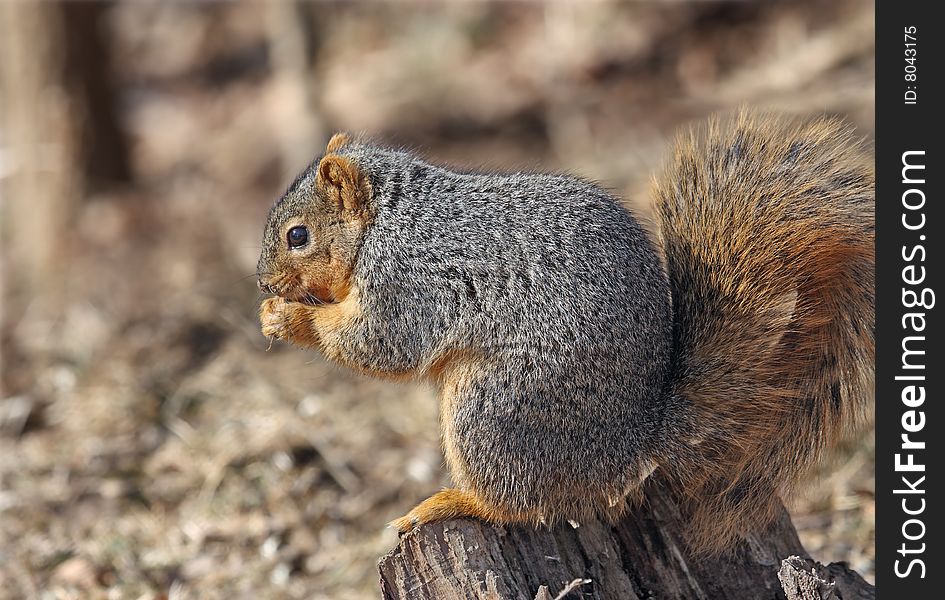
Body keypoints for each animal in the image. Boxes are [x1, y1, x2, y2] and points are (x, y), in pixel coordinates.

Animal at [256, 111, 872, 552]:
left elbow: (380, 345)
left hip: (494, 411)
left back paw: (451, 503)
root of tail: (633, 439)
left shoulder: (405, 278)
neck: (387, 218)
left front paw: (289, 317)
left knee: (521, 503)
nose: (262, 280)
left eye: (297, 235)